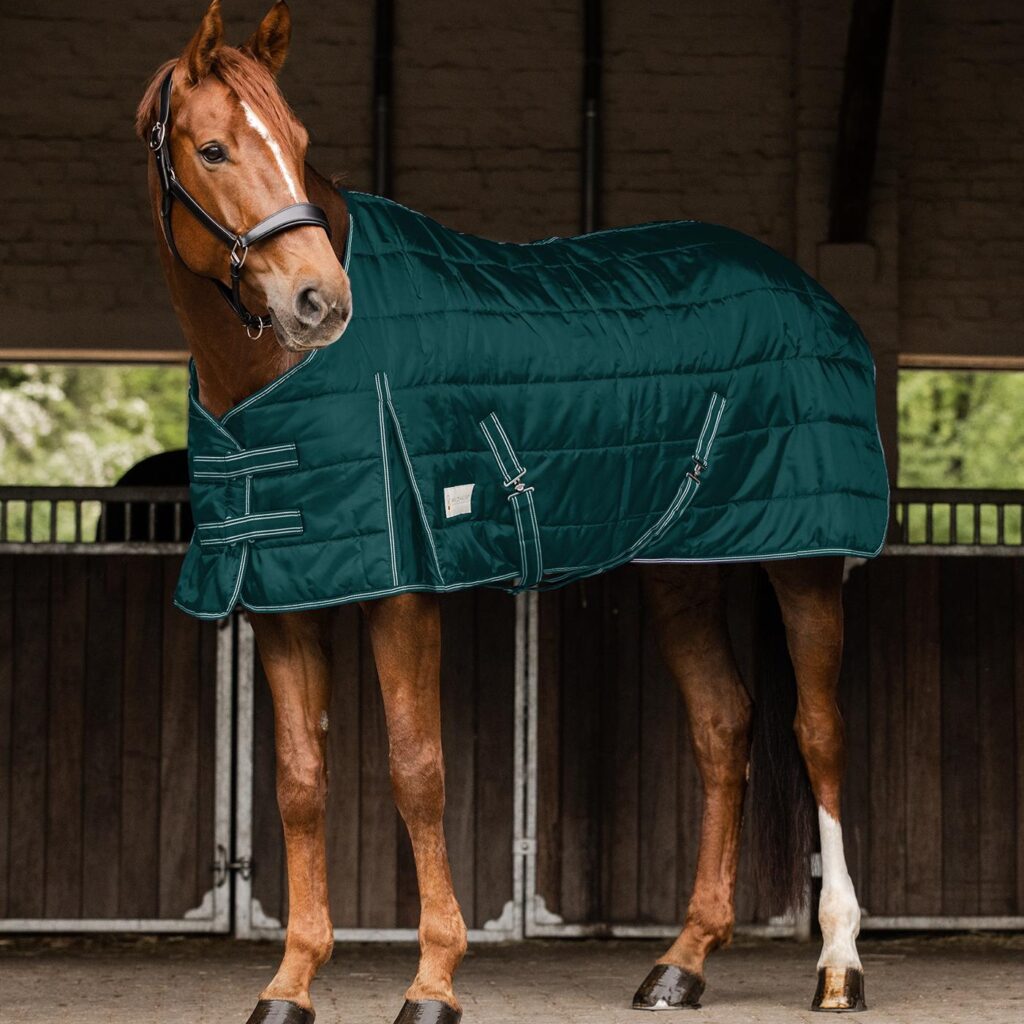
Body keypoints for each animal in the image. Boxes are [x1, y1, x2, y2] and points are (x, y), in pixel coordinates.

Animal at [137, 3, 881, 1021]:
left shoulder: (404, 589)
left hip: (802, 557)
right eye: (212, 148)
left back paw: (839, 960)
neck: (270, 383)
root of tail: (809, 291)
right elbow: (297, 783)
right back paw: (682, 962)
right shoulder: (284, 597)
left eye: (298, 141)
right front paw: (289, 984)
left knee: (821, 732)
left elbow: (418, 771)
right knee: (724, 727)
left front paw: (433, 981)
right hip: (681, 569)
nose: (320, 301)